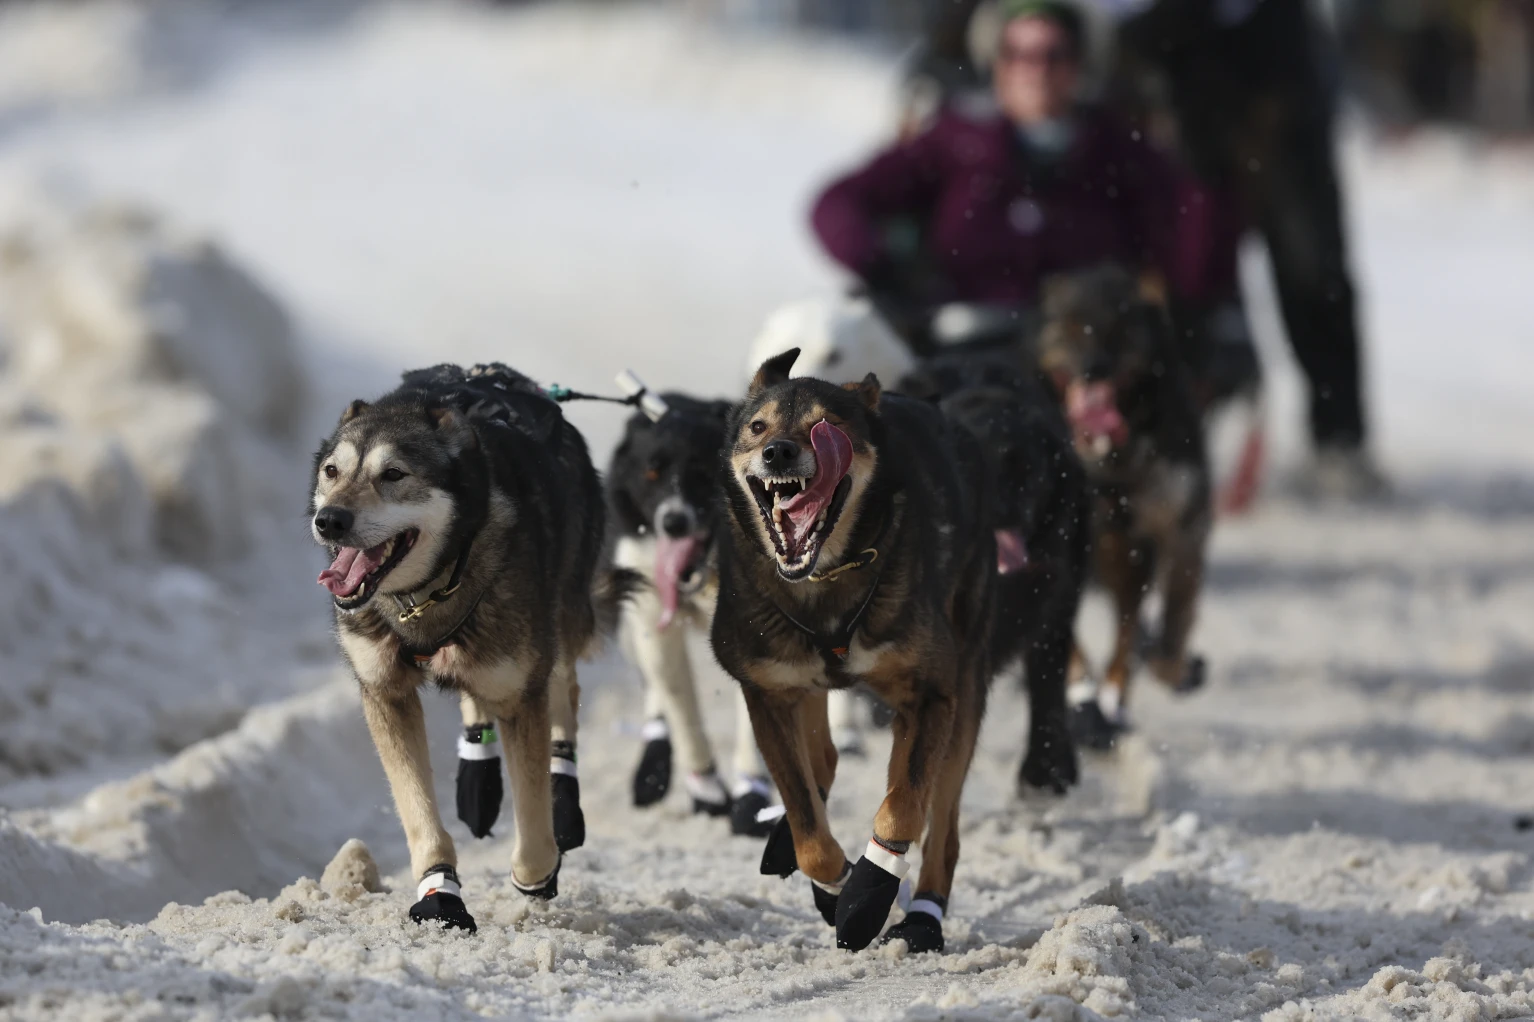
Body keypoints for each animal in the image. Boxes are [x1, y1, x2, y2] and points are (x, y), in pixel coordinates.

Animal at [308, 360, 619, 932]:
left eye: (394, 474)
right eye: (332, 472)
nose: (330, 520)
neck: (427, 595)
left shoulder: (521, 693)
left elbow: (534, 832)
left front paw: (536, 872)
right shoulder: (386, 693)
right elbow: (418, 811)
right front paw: (440, 893)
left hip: (556, 625)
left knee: (564, 695)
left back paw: (563, 797)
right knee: (477, 699)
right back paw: (477, 777)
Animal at [604, 392, 779, 834]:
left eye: (702, 472)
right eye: (651, 471)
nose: (674, 522)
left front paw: (751, 797)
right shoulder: (652, 616)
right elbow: (679, 704)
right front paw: (707, 790)